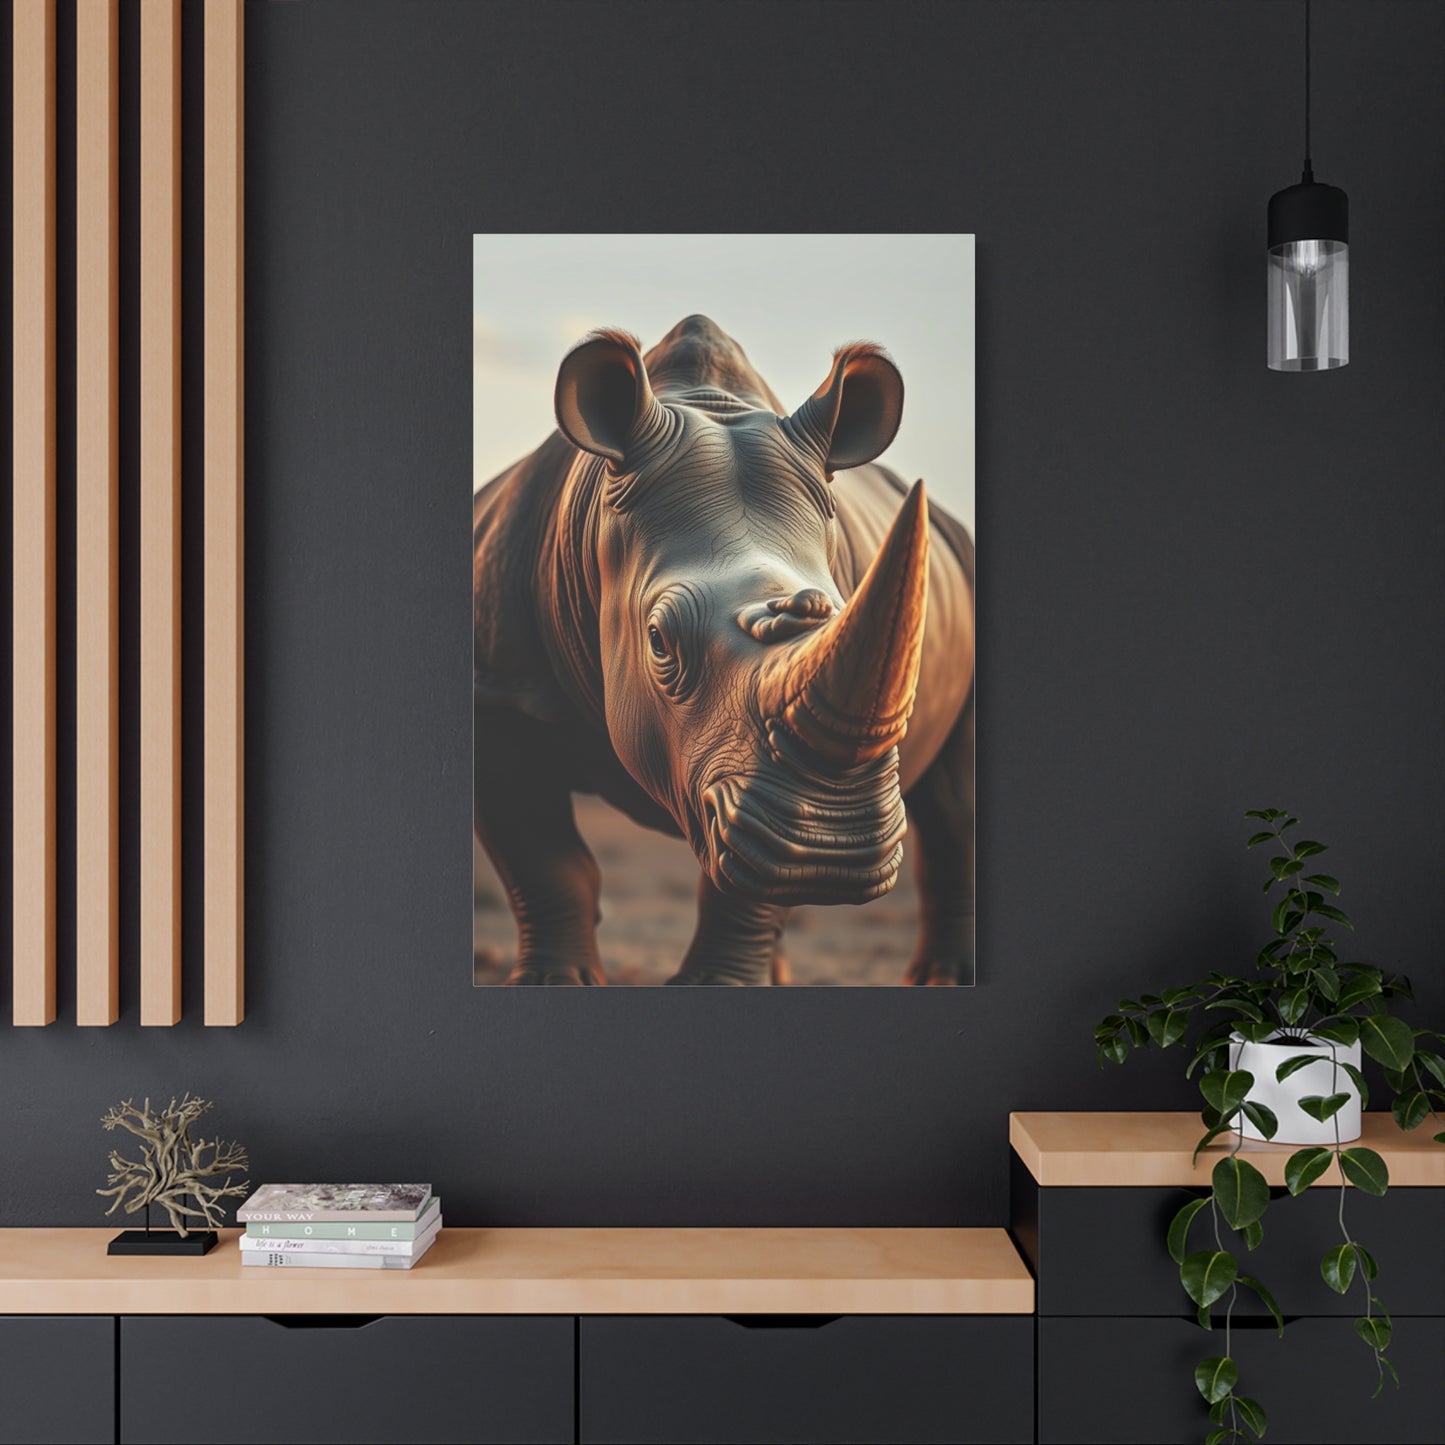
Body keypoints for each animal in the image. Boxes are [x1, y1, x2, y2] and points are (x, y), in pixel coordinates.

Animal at [473, 315, 975, 985]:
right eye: (658, 641)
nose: (831, 846)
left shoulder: (760, 800)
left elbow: (749, 886)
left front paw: (715, 983)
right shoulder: (500, 691)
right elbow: (544, 862)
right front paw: (552, 982)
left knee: (953, 807)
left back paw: (942, 978)